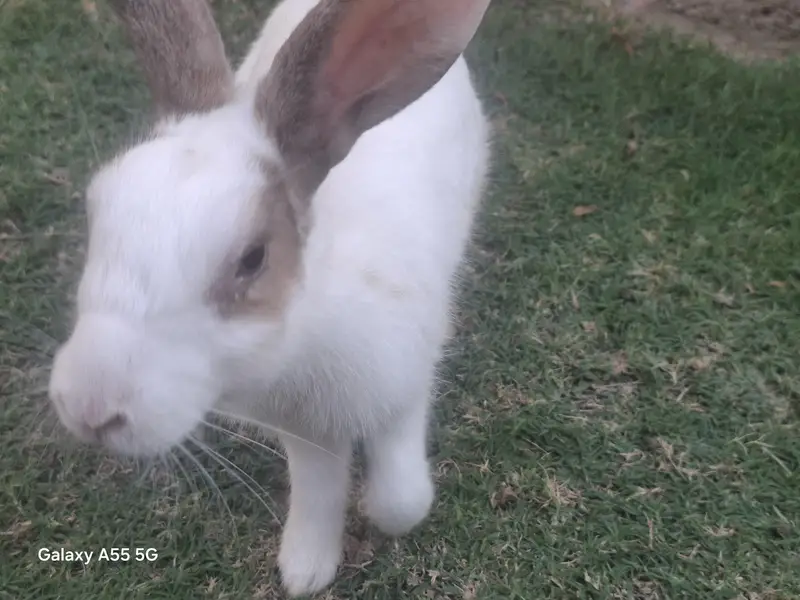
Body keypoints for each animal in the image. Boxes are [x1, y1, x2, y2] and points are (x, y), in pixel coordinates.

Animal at [47, 0, 492, 595]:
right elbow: (318, 490)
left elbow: (401, 501)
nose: (89, 410)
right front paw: (306, 569)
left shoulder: (405, 388)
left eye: (253, 257)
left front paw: (379, 517)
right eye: (96, 207)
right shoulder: (304, 431)